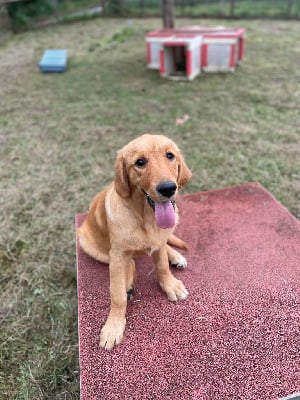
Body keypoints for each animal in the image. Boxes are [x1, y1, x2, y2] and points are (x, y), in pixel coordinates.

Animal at [78, 133, 192, 348]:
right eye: (140, 162)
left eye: (170, 156)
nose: (168, 188)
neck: (146, 218)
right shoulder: (117, 255)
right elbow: (117, 295)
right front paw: (113, 327)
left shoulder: (158, 241)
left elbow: (162, 265)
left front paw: (170, 285)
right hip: (88, 243)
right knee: (129, 263)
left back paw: (176, 256)